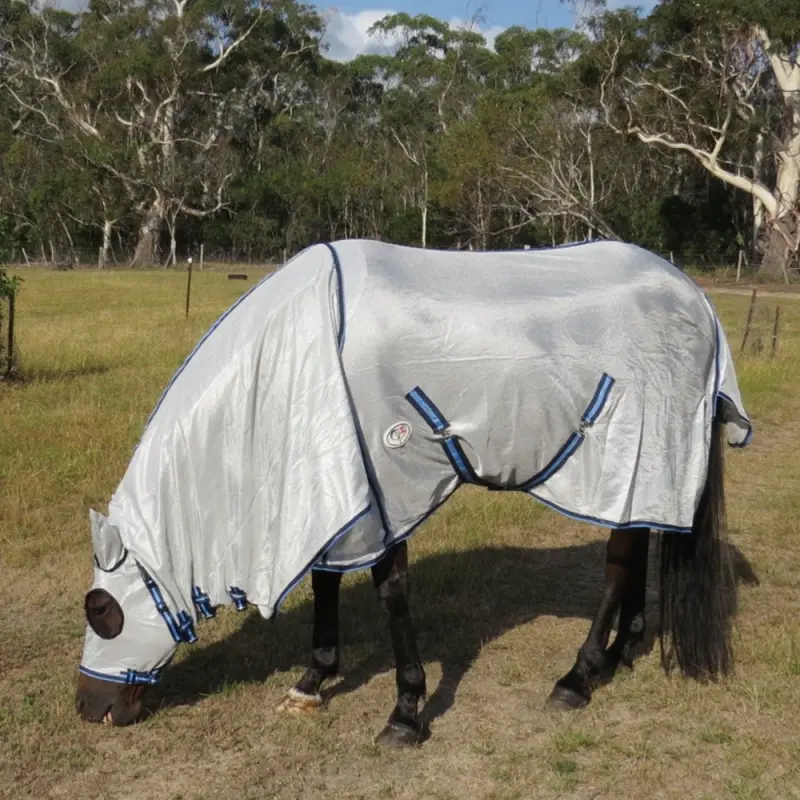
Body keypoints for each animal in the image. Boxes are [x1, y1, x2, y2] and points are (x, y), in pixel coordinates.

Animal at [75, 239, 752, 746]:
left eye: (100, 610)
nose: (89, 708)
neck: (311, 337)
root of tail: (698, 299)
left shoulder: (385, 491)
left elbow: (389, 590)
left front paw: (404, 713)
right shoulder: (339, 490)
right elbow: (326, 578)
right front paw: (311, 682)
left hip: (636, 455)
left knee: (618, 564)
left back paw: (577, 678)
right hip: (646, 476)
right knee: (639, 547)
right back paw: (620, 653)